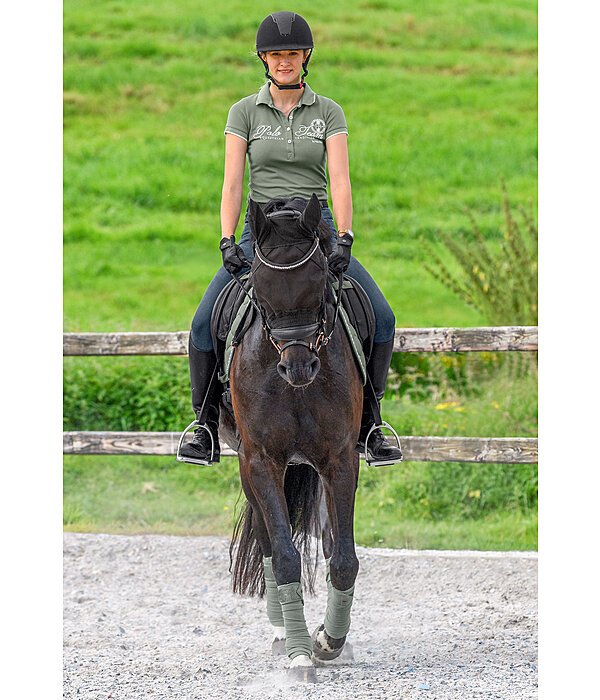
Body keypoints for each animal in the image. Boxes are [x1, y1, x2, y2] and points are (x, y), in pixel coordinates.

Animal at [218, 194, 364, 680]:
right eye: (260, 290)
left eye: (320, 282)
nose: (298, 368)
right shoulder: (261, 460)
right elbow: (283, 555)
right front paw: (300, 653)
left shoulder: (340, 460)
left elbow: (344, 558)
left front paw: (329, 643)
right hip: (248, 465)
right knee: (267, 543)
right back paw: (283, 631)